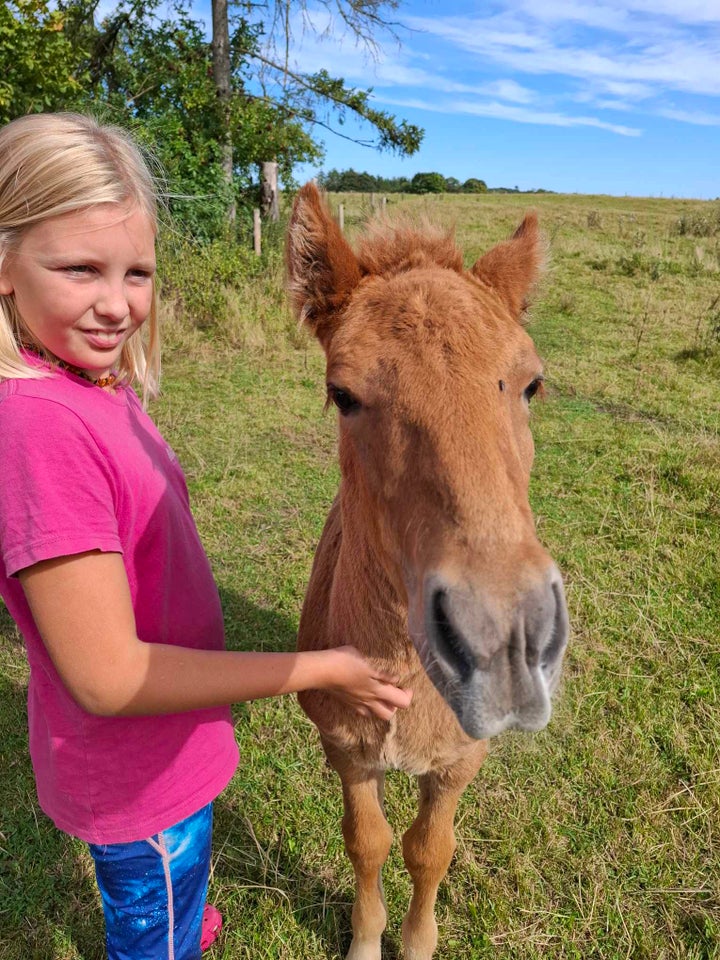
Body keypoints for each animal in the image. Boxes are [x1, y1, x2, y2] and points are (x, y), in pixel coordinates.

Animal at [286, 186, 568, 960]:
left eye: (531, 383)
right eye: (343, 393)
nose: (503, 634)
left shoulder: (460, 760)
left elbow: (429, 850)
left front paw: (415, 942)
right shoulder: (346, 751)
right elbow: (369, 842)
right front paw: (365, 940)